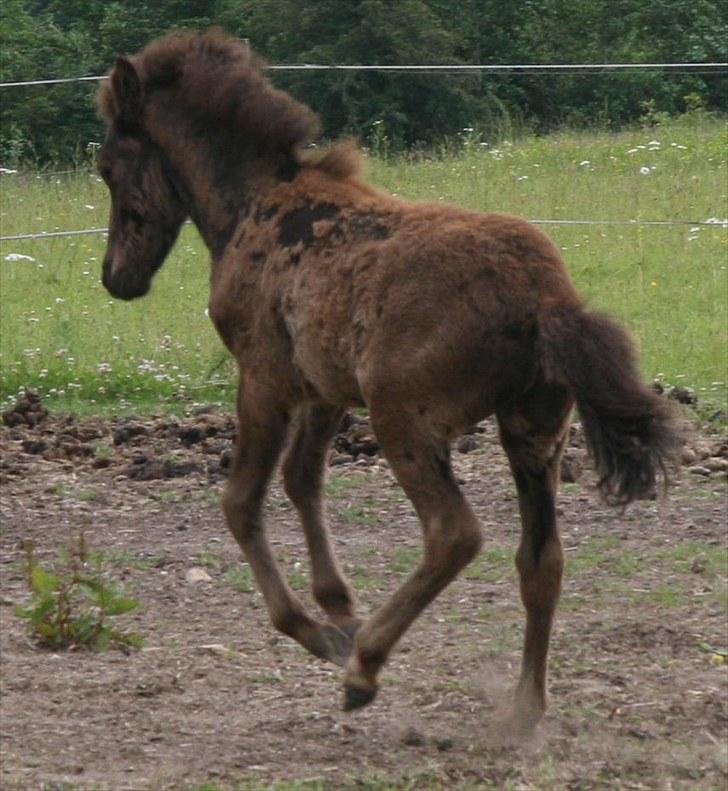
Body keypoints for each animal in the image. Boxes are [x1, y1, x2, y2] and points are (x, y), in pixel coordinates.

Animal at [96, 29, 676, 724]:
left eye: (107, 168)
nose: (115, 277)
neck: (254, 206)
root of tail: (547, 301)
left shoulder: (263, 379)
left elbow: (241, 503)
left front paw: (320, 630)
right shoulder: (324, 391)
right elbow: (302, 481)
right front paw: (339, 606)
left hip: (404, 418)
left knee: (454, 535)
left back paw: (365, 667)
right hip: (535, 431)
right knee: (542, 559)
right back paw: (523, 709)